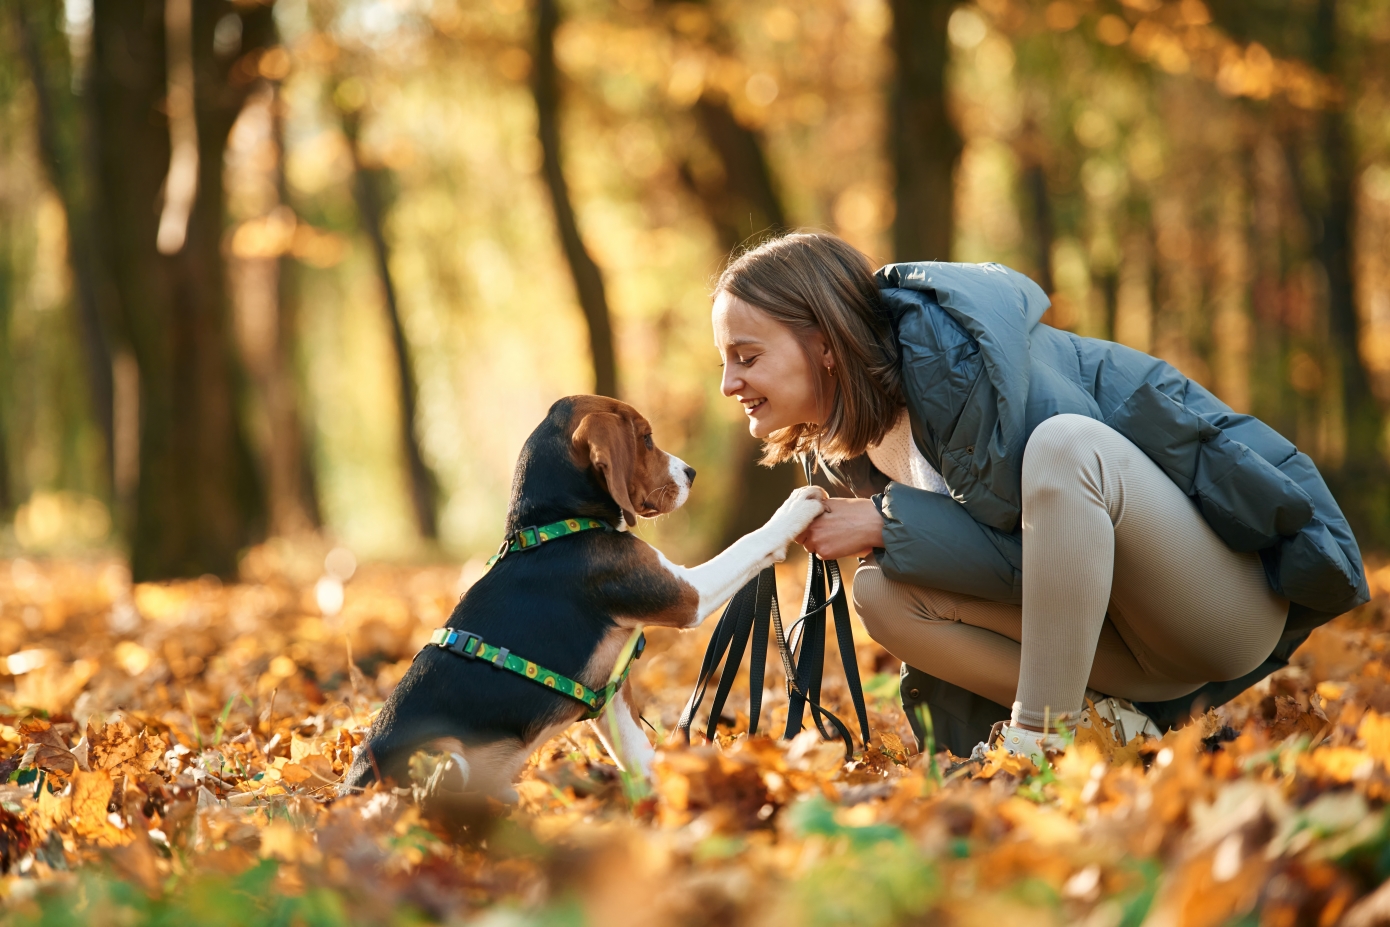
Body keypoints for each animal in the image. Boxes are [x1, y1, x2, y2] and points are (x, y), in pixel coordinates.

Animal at [344, 397, 822, 806]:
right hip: (443, 757)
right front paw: (795, 508)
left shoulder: (610, 694)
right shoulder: (688, 594)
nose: (691, 473)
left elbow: (640, 756)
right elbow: (749, 542)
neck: (556, 521)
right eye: (646, 439)